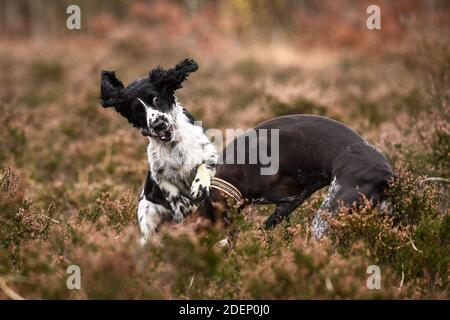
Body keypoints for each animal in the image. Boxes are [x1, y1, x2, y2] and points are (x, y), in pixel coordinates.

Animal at [101, 59, 217, 245]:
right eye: (137, 110)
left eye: (156, 98)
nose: (158, 124)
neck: (173, 144)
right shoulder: (159, 175)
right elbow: (173, 194)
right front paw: (185, 206)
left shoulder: (208, 153)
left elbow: (204, 166)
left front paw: (199, 186)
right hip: (146, 209)